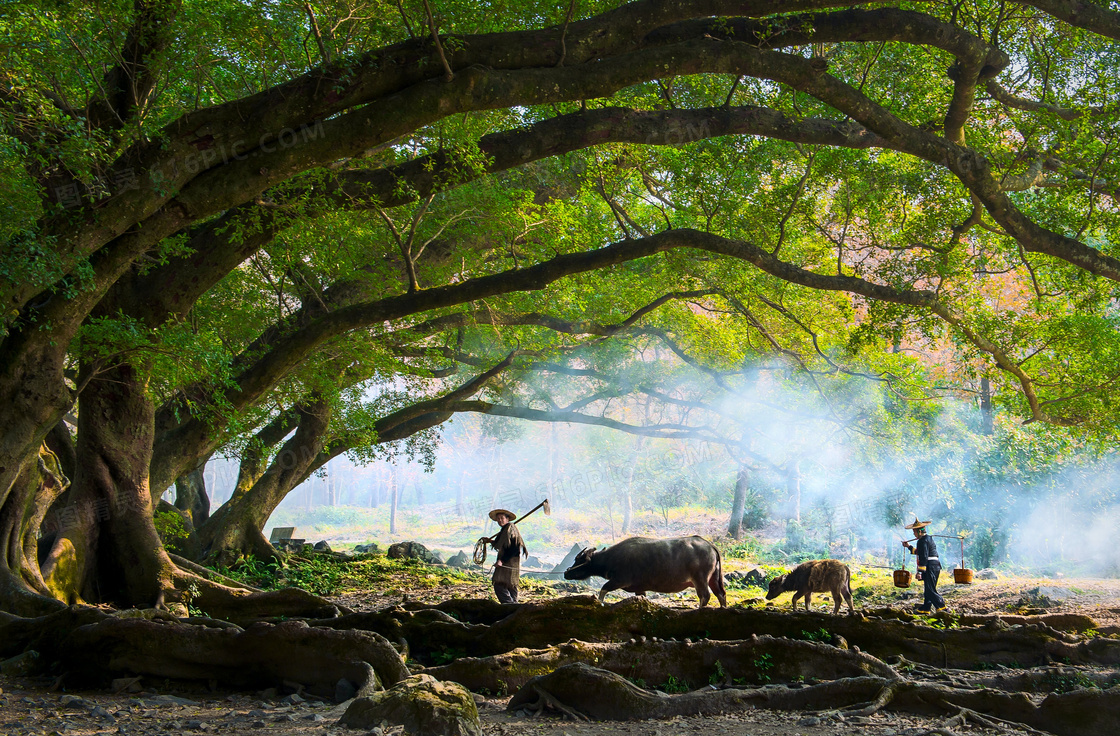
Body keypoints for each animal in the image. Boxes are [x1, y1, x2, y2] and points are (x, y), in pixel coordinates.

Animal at [560, 537, 725, 604]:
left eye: (579, 560)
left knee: (705, 596)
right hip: (713, 578)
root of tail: (709, 545)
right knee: (720, 594)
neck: (610, 558)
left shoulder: (620, 580)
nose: (566, 572)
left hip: (700, 579)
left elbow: (603, 589)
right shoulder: (639, 589)